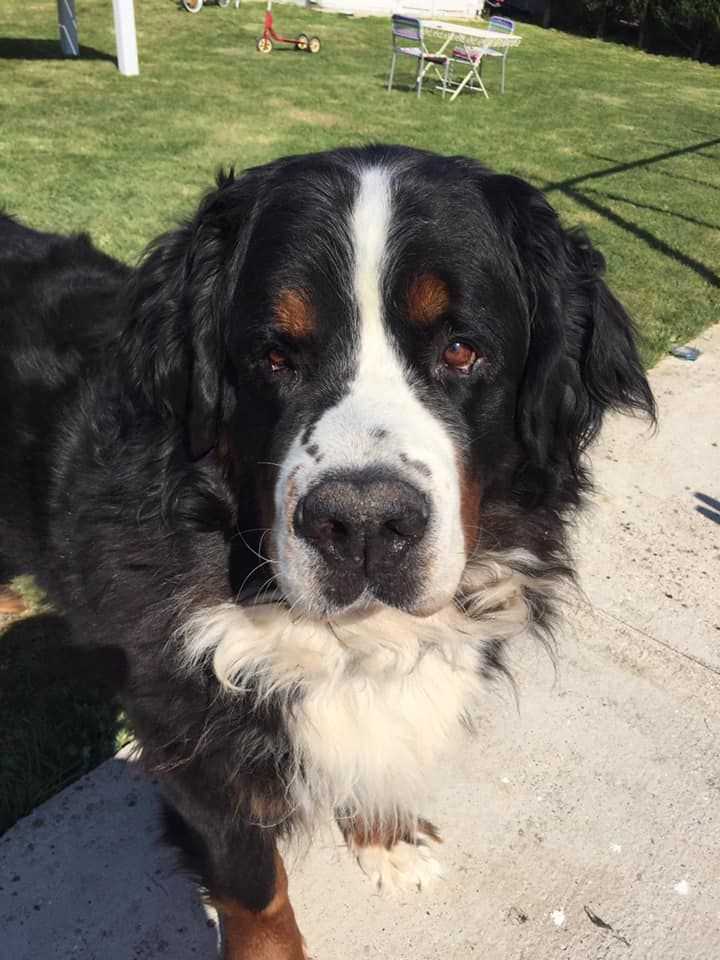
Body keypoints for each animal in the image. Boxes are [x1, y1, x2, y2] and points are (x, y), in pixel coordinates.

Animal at [0, 144, 652, 960]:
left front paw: (387, 841)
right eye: (274, 357)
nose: (364, 523)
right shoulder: (196, 753)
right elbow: (256, 891)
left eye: (461, 350)